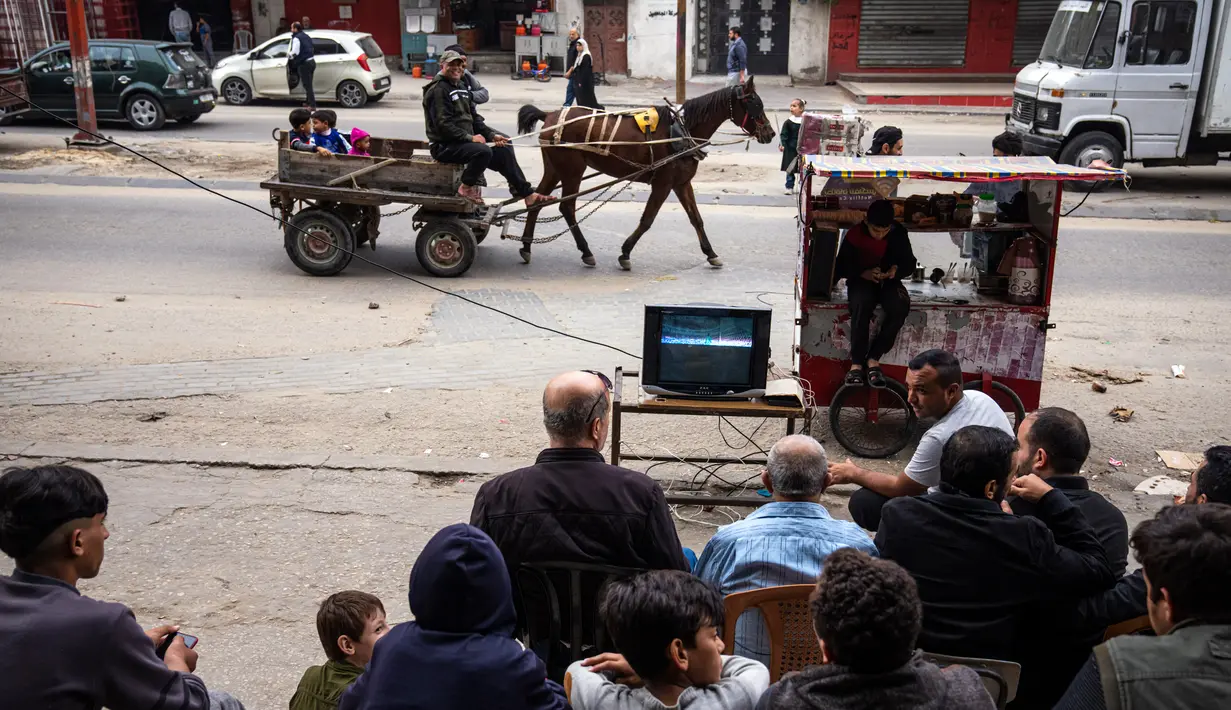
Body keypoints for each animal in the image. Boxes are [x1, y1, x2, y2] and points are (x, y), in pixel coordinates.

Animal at [514, 77, 773, 269]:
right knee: (567, 208)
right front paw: (625, 253)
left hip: (555, 169)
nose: (770, 133)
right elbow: (648, 219)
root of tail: (549, 115)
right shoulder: (663, 183)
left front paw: (710, 253)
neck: (682, 129)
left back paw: (526, 245)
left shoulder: (681, 183)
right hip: (572, 170)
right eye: (755, 103)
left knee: (535, 202)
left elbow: (696, 219)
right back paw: (585, 251)